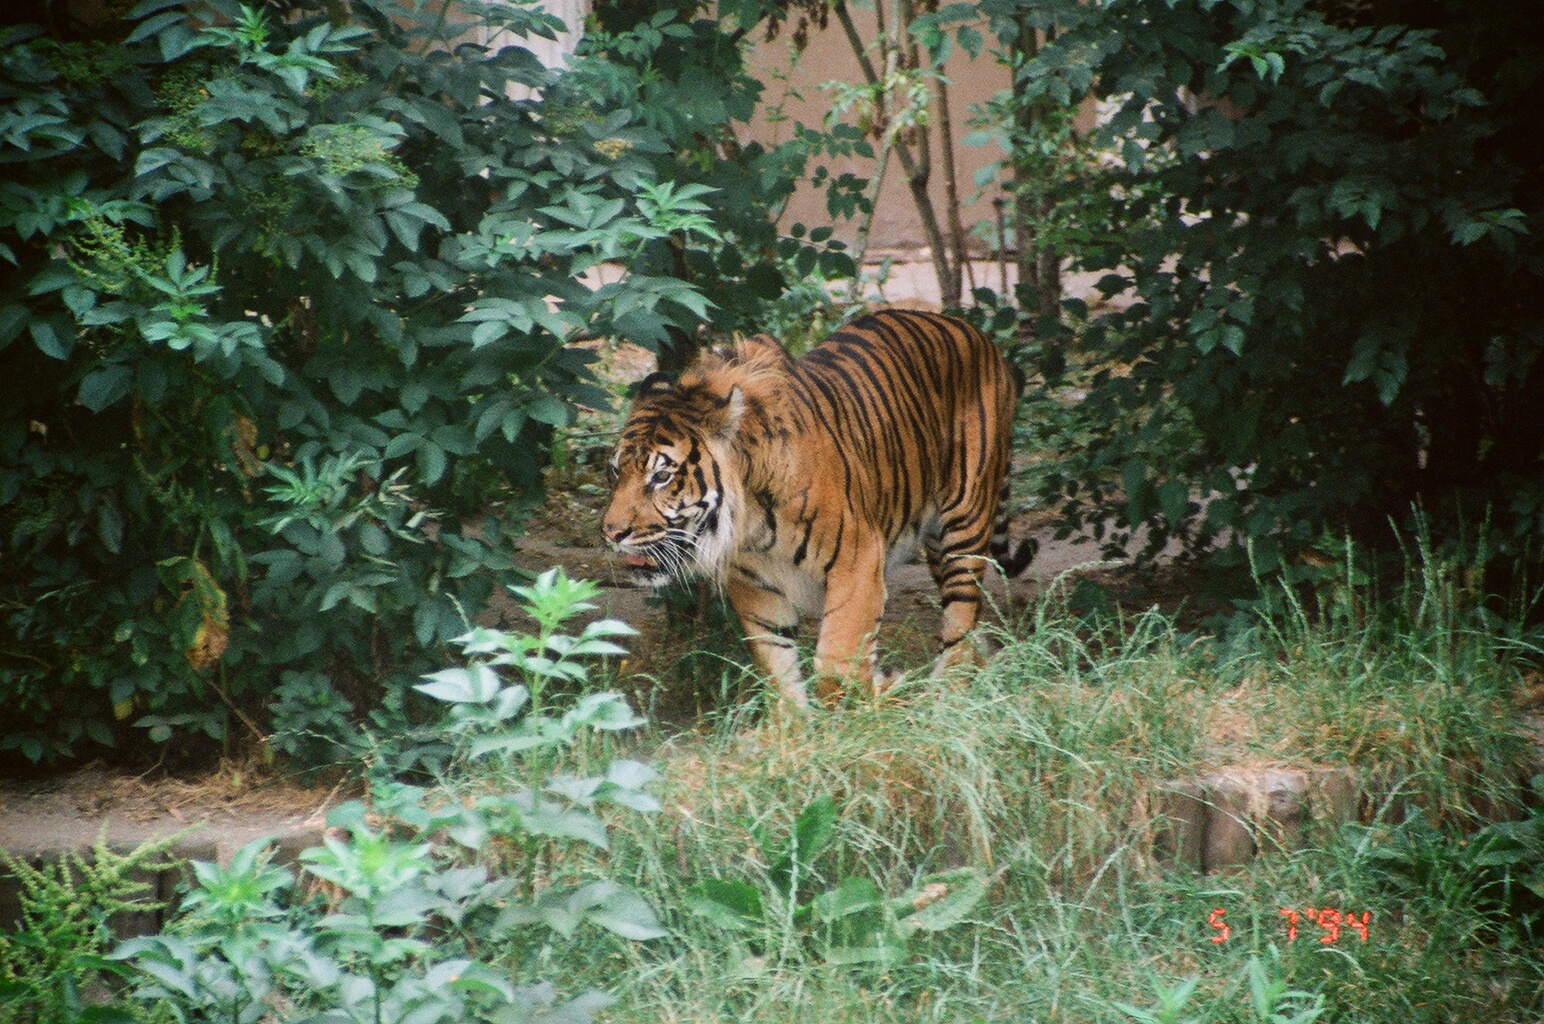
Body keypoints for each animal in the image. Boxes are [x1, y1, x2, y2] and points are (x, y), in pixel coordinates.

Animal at [601, 307, 1034, 707]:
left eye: (661, 476)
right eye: (616, 471)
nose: (611, 533)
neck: (751, 522)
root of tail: (976, 333)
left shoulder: (858, 560)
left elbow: (836, 661)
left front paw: (880, 689)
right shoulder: (755, 584)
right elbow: (777, 669)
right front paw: (792, 731)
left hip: (963, 525)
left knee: (961, 618)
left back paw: (947, 694)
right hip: (935, 544)